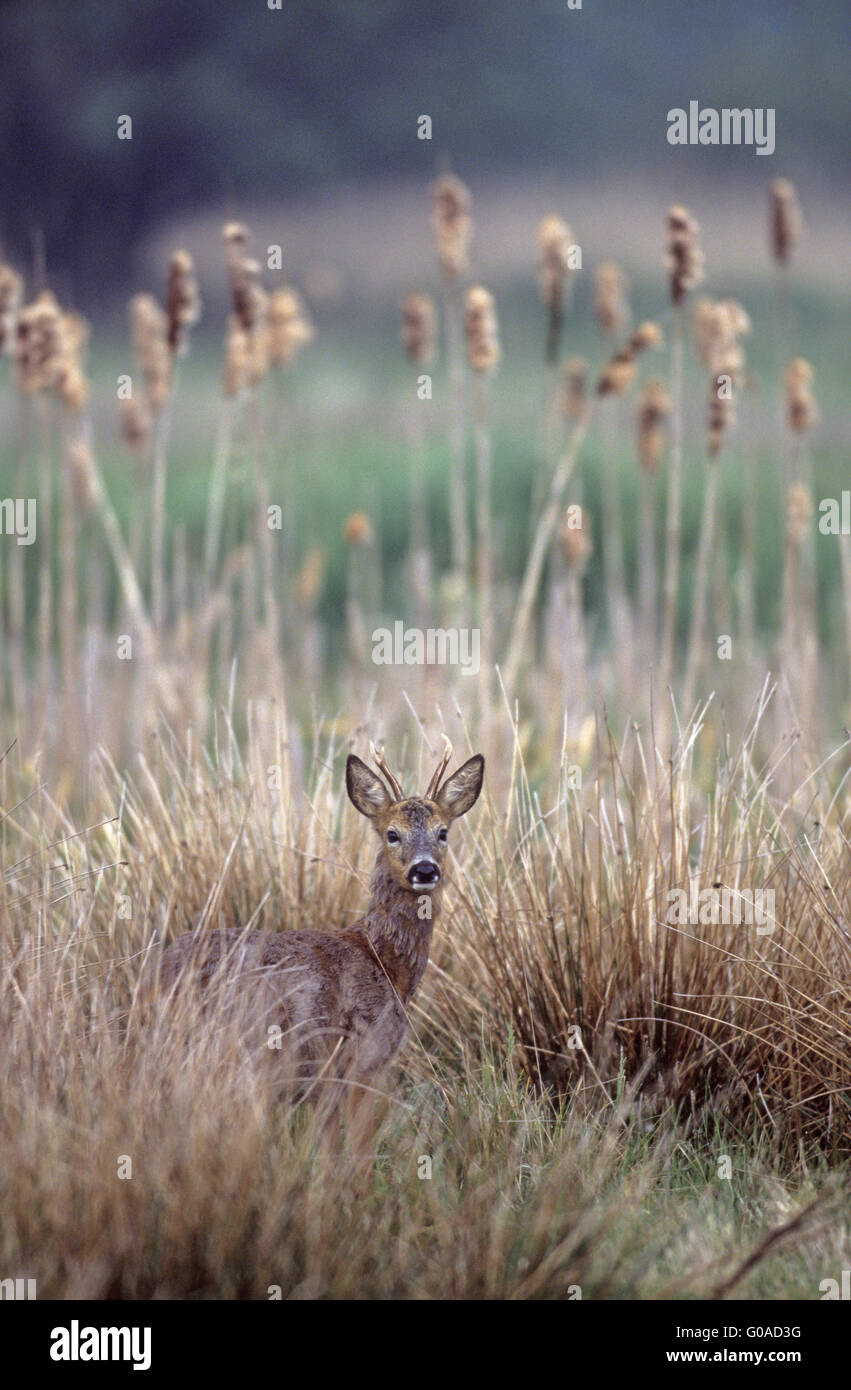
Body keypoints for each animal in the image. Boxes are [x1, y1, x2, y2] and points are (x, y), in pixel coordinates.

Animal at [148, 737, 484, 1163]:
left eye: (443, 832)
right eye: (392, 834)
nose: (424, 870)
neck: (384, 962)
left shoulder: (326, 1081)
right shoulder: (366, 1057)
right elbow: (357, 1153)